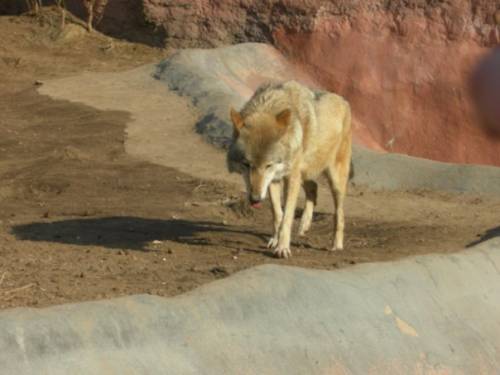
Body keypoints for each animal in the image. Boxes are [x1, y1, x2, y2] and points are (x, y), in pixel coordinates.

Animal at [227, 81, 352, 260]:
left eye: (268, 165)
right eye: (246, 164)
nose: (255, 199)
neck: (271, 104)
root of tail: (344, 101)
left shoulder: (290, 178)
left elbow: (287, 217)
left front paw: (282, 248)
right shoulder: (275, 180)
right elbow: (277, 213)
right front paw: (275, 240)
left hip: (334, 181)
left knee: (339, 214)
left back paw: (337, 245)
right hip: (304, 172)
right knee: (313, 188)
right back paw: (304, 225)